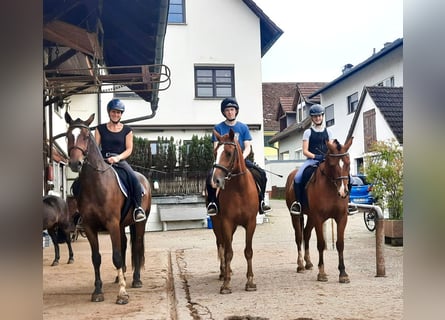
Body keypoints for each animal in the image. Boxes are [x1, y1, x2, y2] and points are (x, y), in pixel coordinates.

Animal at [63, 113, 151, 304]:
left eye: (86, 136)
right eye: (67, 136)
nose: (75, 163)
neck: (96, 184)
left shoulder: (111, 223)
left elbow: (116, 256)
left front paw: (122, 294)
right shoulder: (89, 227)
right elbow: (96, 258)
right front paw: (97, 291)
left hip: (139, 223)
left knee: (137, 245)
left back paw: (136, 280)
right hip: (121, 224)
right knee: (124, 244)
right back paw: (120, 276)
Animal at [210, 129, 258, 294]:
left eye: (229, 153)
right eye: (215, 152)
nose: (216, 181)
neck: (239, 189)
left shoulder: (251, 223)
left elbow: (248, 251)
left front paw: (250, 282)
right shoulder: (226, 222)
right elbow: (228, 252)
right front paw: (226, 284)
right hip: (217, 225)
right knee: (221, 245)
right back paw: (223, 272)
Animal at [284, 137, 354, 282]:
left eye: (348, 163)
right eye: (332, 165)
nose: (343, 192)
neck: (331, 187)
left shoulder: (341, 218)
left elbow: (340, 244)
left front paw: (343, 273)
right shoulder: (319, 218)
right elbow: (321, 244)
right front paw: (321, 273)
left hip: (310, 217)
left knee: (306, 234)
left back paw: (309, 263)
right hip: (296, 216)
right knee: (299, 237)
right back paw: (300, 265)